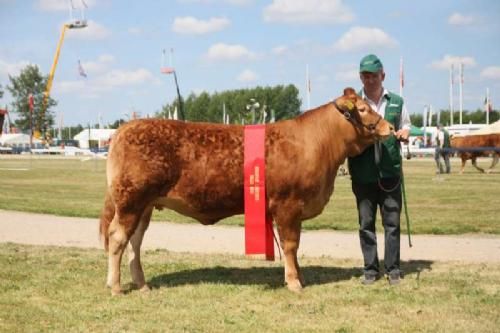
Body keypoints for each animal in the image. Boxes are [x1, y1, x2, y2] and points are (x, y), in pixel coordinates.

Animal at [98, 87, 394, 294]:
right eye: (363, 108)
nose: (390, 127)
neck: (318, 144)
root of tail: (124, 129)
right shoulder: (288, 205)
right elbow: (291, 245)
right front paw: (294, 282)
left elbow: (294, 247)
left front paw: (299, 276)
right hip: (131, 200)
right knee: (117, 237)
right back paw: (115, 286)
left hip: (145, 205)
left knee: (135, 241)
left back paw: (142, 284)